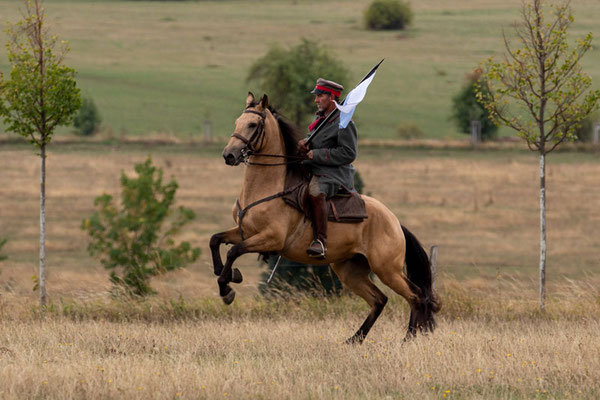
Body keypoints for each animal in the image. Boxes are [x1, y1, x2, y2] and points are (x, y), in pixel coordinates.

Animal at [211, 92, 440, 342]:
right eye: (237, 122)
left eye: (252, 124)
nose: (229, 155)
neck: (267, 187)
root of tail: (395, 222)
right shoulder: (244, 232)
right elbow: (216, 240)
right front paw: (226, 275)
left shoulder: (271, 239)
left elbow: (234, 251)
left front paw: (227, 287)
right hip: (350, 270)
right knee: (379, 300)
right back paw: (354, 340)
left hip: (387, 269)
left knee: (416, 296)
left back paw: (408, 339)